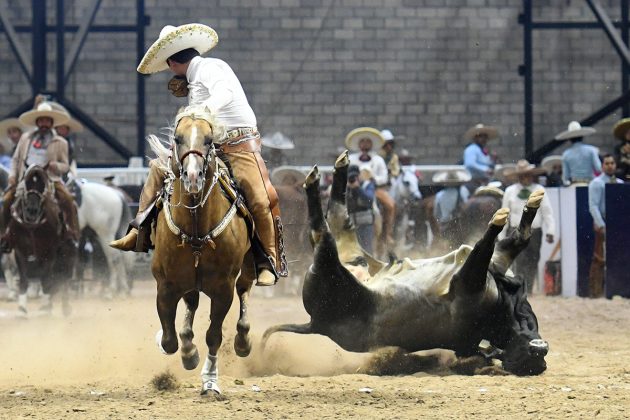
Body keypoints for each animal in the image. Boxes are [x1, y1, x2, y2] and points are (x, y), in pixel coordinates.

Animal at [7, 166, 75, 314]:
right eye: (27, 183)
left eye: (42, 185)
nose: (32, 210)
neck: (32, 227)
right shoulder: (20, 251)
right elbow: (24, 279)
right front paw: (21, 309)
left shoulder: (49, 253)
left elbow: (46, 279)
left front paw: (45, 308)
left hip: (66, 251)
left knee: (65, 276)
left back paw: (65, 307)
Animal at [147, 106, 256, 396]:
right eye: (177, 138)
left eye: (208, 140)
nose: (193, 176)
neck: (196, 228)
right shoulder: (166, 285)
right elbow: (170, 338)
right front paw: (185, 351)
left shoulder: (223, 289)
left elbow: (213, 335)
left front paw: (209, 380)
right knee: (191, 304)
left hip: (248, 267)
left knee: (244, 290)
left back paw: (243, 341)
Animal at [264, 153, 552, 376]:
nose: (540, 347)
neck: (500, 312)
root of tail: (315, 324)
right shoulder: (495, 263)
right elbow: (518, 238)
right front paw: (530, 203)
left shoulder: (469, 280)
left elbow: (489, 244)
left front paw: (501, 217)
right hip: (355, 257)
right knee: (338, 218)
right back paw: (339, 167)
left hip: (331, 271)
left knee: (324, 231)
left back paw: (316, 180)